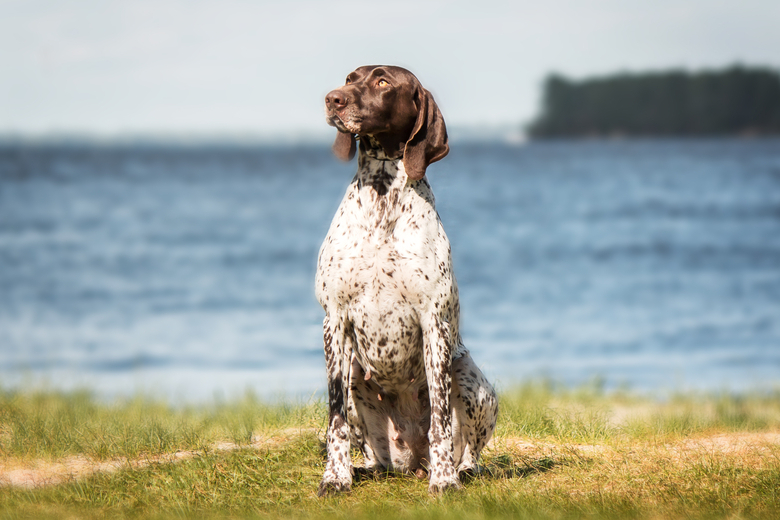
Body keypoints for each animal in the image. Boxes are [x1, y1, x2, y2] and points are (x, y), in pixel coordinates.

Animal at [316, 65, 494, 496]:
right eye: (350, 77)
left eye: (383, 82)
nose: (332, 99)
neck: (382, 198)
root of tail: (411, 461)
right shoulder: (334, 320)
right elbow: (335, 422)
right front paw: (335, 477)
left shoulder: (435, 322)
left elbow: (441, 423)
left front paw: (444, 481)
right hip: (353, 377)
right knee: (374, 455)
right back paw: (363, 468)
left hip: (472, 378)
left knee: (468, 447)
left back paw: (459, 470)